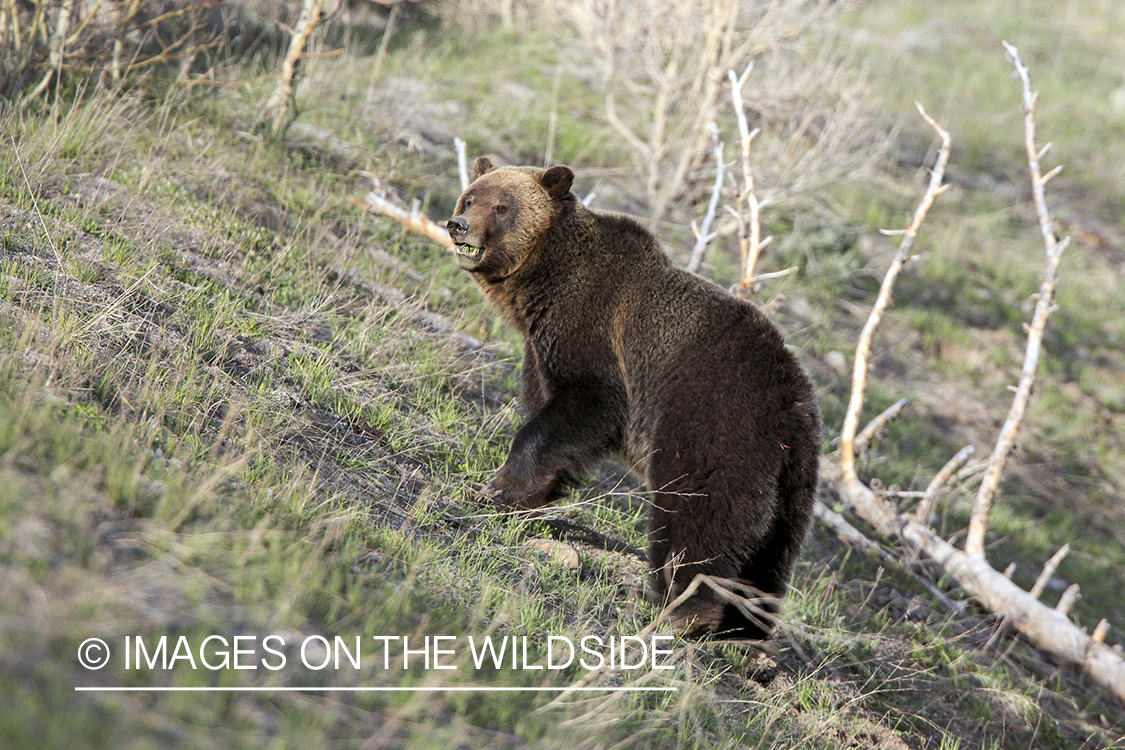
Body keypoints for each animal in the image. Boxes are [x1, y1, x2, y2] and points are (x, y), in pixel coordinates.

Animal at [443, 158, 823, 638]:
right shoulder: (541, 349)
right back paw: (745, 628)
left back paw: (681, 609)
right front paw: (527, 496)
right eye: (470, 197)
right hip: (795, 479)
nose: (458, 224)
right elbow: (551, 421)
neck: (545, 280)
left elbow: (585, 405)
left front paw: (497, 489)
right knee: (773, 551)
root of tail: (790, 402)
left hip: (712, 424)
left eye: (502, 206)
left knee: (698, 515)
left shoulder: (595, 331)